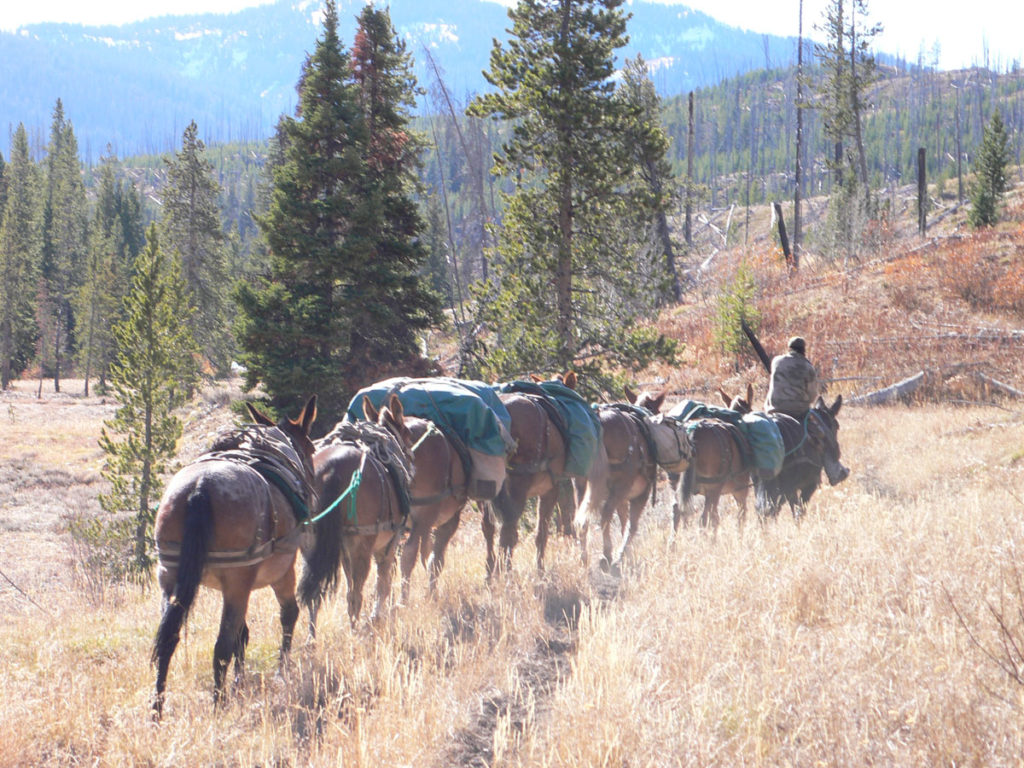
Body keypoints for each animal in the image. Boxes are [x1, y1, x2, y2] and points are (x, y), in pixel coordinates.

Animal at [149, 399, 317, 720]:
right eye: (312, 448)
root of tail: (200, 488)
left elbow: (243, 633)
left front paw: (240, 681)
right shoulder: (281, 572)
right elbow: (288, 614)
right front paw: (282, 671)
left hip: (170, 576)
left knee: (167, 641)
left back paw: (156, 711)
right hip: (238, 581)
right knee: (221, 645)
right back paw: (218, 704)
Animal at [296, 397, 411, 630]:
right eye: (408, 434)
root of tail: (332, 468)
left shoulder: (344, 552)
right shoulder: (387, 546)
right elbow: (383, 584)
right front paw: (378, 616)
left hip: (311, 543)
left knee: (316, 596)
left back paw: (312, 636)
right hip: (361, 546)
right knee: (357, 594)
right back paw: (355, 630)